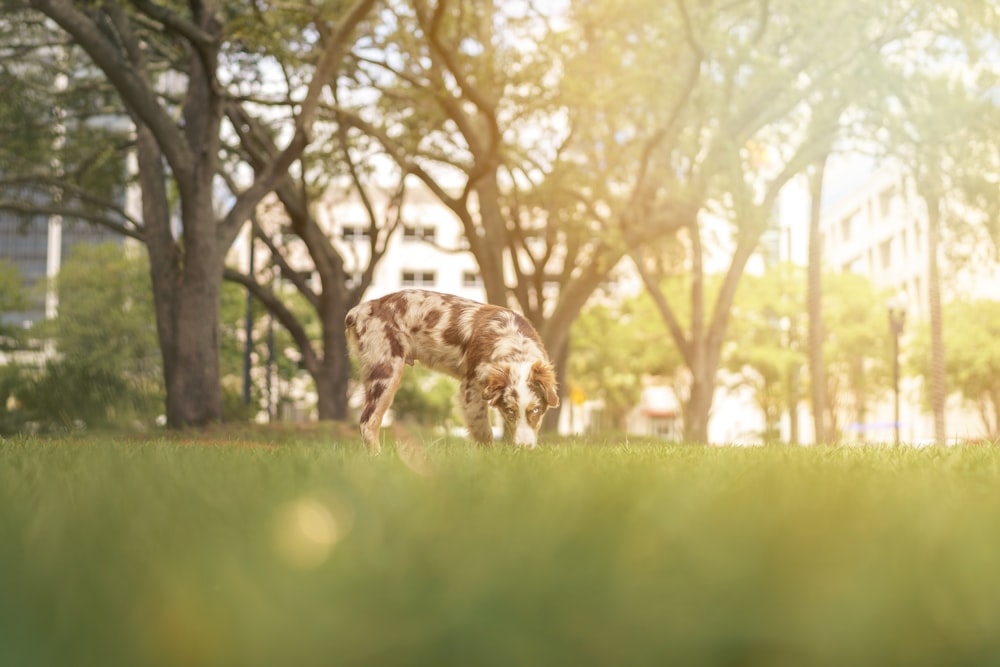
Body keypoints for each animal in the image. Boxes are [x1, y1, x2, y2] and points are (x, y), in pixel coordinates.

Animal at [348, 288, 560, 452]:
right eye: (510, 410)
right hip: (386, 372)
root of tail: (362, 309)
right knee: (368, 421)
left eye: (536, 410)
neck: (514, 344)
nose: (525, 449)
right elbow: (483, 432)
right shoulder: (471, 390)